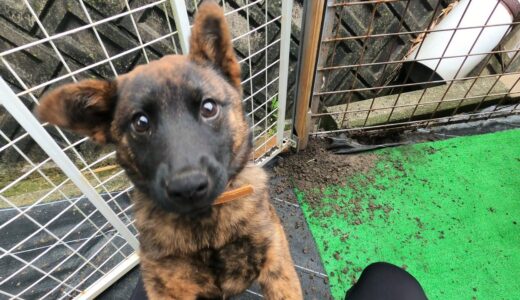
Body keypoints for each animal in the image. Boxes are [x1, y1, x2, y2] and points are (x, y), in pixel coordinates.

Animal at [36, 1, 302, 298]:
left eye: (208, 107)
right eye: (140, 123)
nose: (188, 187)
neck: (207, 222)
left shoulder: (276, 259)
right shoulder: (168, 286)